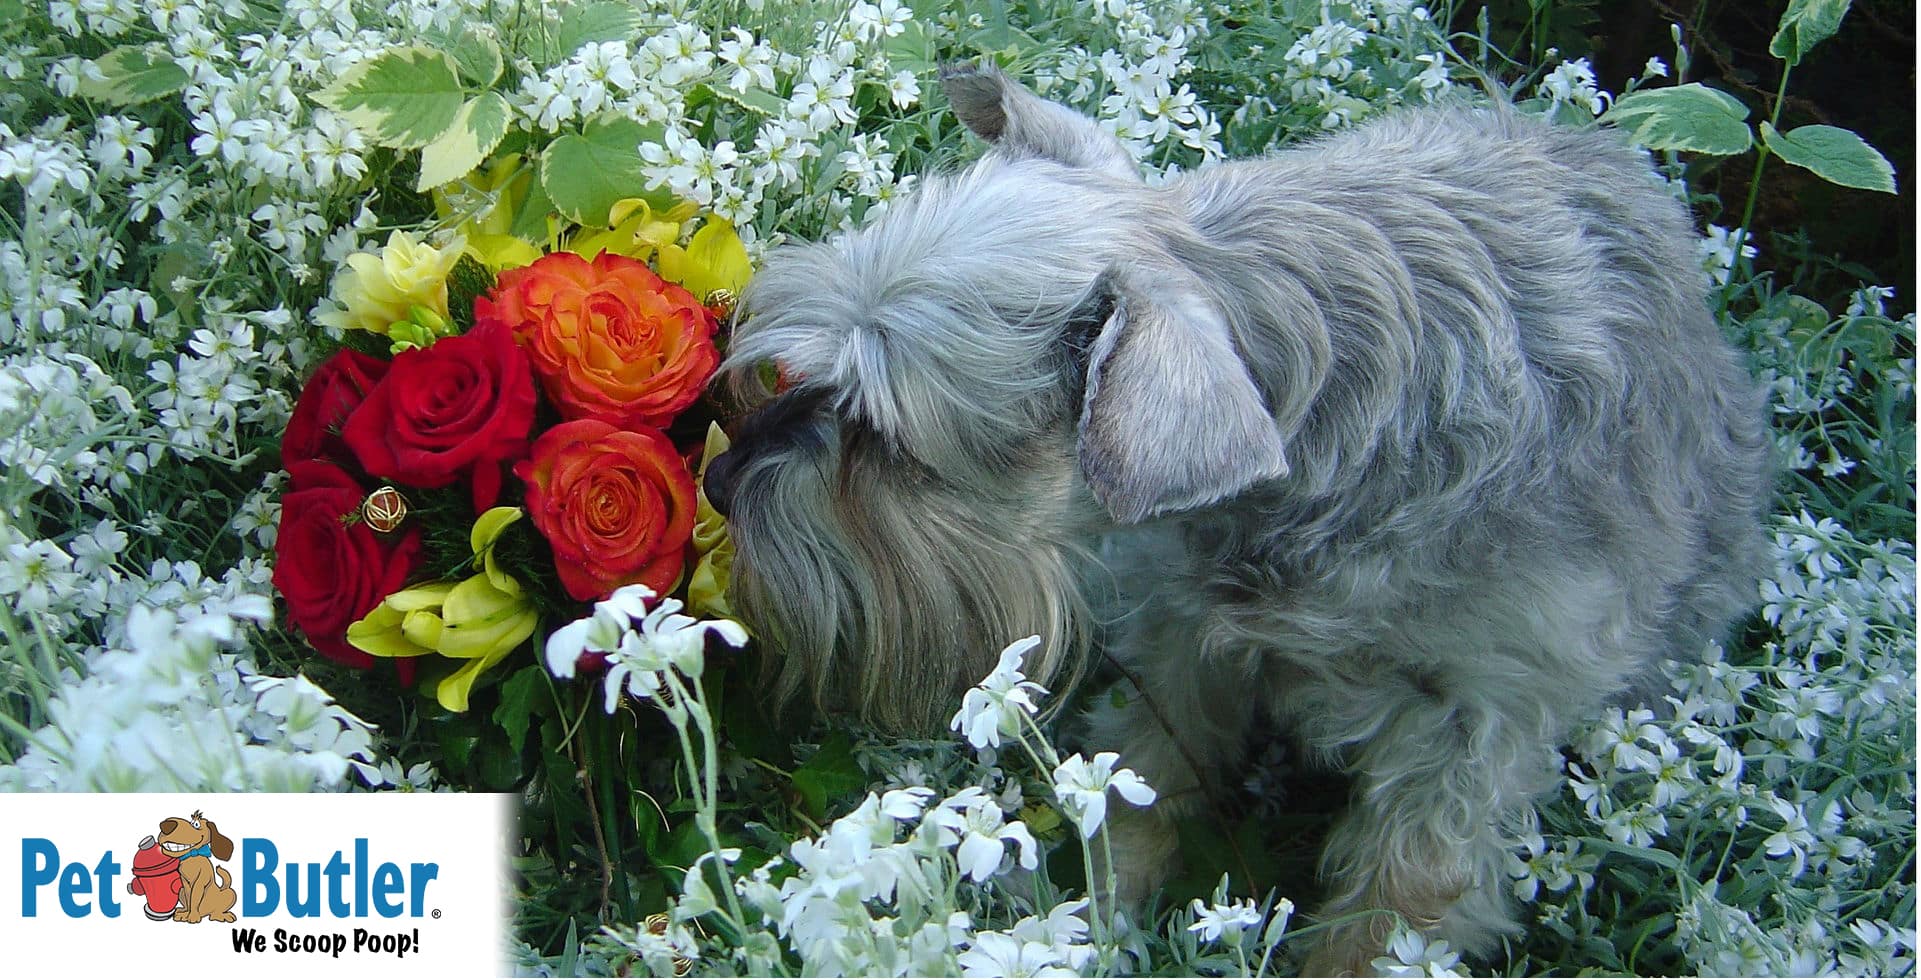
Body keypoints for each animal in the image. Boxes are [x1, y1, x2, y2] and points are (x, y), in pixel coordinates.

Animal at [706, 66, 1767, 972]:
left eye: (886, 443)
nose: (719, 480)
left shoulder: (1472, 730)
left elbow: (1396, 905)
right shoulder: (1185, 637)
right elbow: (1141, 782)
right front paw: (1098, 926)